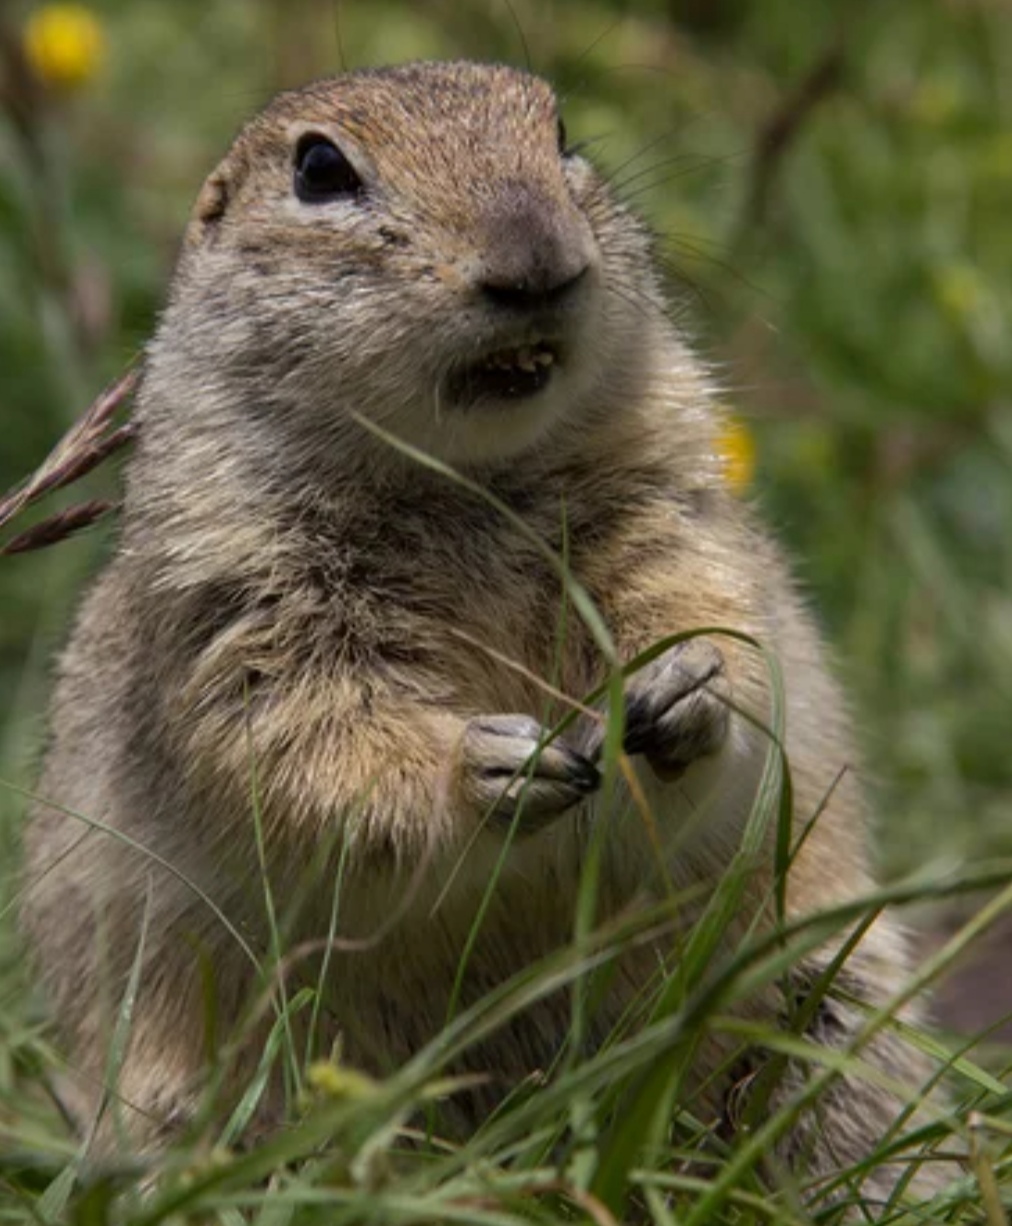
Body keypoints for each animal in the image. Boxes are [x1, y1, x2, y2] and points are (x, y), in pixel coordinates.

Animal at [21, 59, 942, 1196]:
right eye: (319, 169)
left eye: (563, 133)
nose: (537, 264)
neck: (468, 481)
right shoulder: (239, 595)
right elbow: (309, 740)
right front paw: (495, 764)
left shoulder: (670, 502)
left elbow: (720, 624)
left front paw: (688, 687)